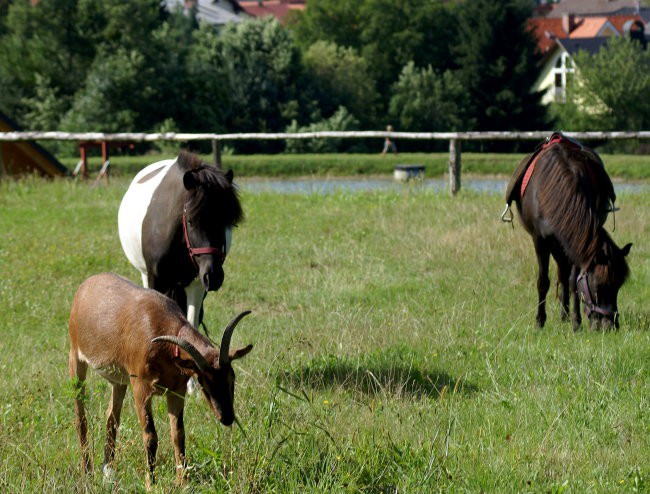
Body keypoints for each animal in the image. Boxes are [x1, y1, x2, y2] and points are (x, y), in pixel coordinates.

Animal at [68, 272, 251, 488]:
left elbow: (178, 434)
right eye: (203, 383)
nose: (227, 417)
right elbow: (150, 436)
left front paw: (182, 481)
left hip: (119, 381)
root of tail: (86, 285)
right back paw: (87, 472)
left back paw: (108, 472)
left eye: (232, 377)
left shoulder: (176, 392)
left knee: (111, 417)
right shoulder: (140, 388)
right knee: (81, 418)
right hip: (76, 359)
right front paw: (150, 483)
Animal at [504, 133, 632, 330]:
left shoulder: (576, 244)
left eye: (618, 286)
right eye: (598, 286)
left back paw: (565, 316)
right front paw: (540, 321)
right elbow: (543, 281)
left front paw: (576, 322)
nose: (610, 326)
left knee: (564, 276)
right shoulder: (540, 240)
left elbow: (573, 281)